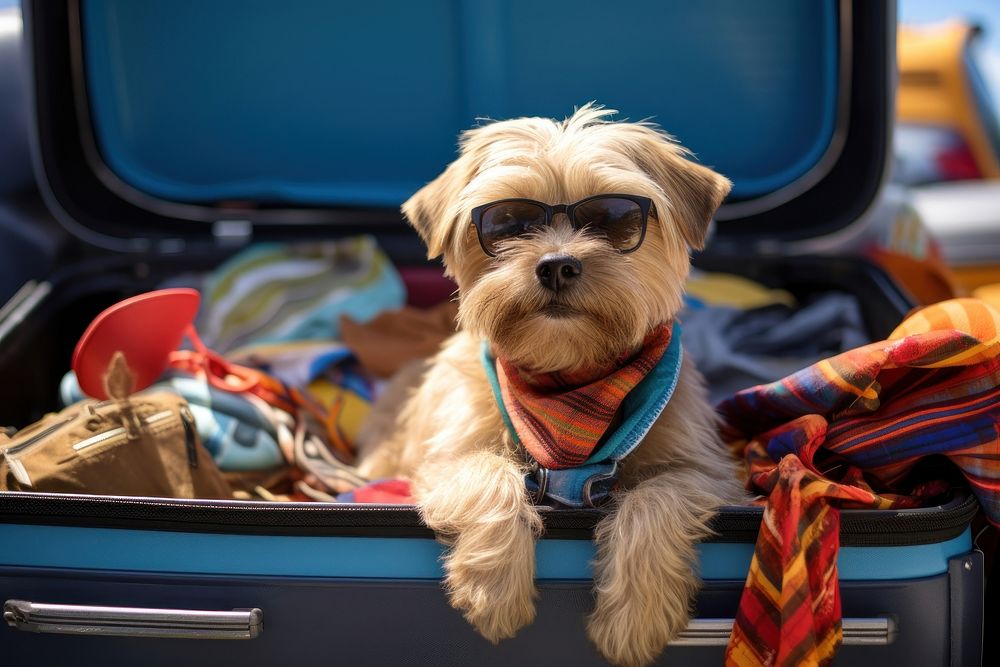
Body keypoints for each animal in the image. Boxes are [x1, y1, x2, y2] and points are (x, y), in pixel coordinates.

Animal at [356, 105, 748, 667]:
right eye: (508, 223)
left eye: (612, 218)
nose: (557, 265)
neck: (568, 379)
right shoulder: (445, 459)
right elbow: (488, 475)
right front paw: (495, 588)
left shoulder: (709, 474)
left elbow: (655, 498)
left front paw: (636, 614)